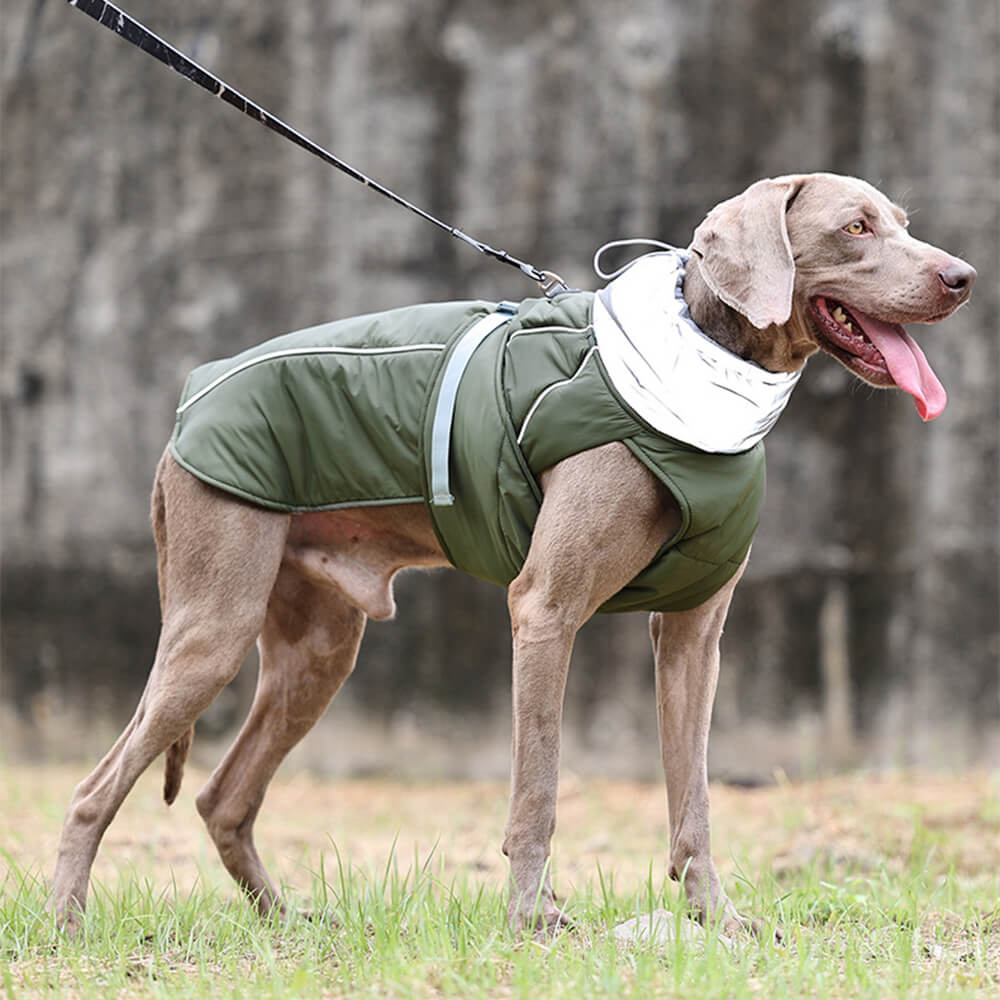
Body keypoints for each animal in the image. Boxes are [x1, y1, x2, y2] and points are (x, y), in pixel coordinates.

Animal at [48, 174, 976, 936]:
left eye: (902, 222)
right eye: (855, 226)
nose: (963, 276)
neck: (707, 362)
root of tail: (188, 404)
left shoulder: (693, 637)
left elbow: (696, 797)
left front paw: (719, 918)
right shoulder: (545, 611)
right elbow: (539, 788)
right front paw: (533, 918)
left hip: (317, 649)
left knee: (222, 795)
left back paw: (290, 922)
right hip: (213, 623)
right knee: (95, 789)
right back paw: (68, 923)